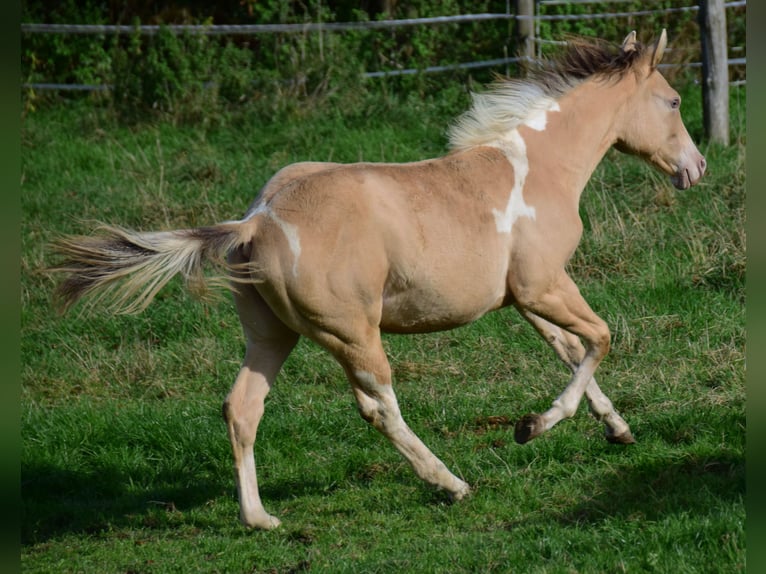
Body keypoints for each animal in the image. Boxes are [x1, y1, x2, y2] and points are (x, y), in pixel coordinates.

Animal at [49, 30, 708, 532]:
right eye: (675, 102)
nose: (696, 168)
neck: (537, 167)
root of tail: (256, 220)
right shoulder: (544, 285)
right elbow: (598, 340)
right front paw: (532, 427)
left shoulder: (525, 298)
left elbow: (570, 350)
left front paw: (618, 430)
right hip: (353, 335)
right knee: (378, 407)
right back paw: (450, 483)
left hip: (272, 336)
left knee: (241, 408)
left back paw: (260, 519)